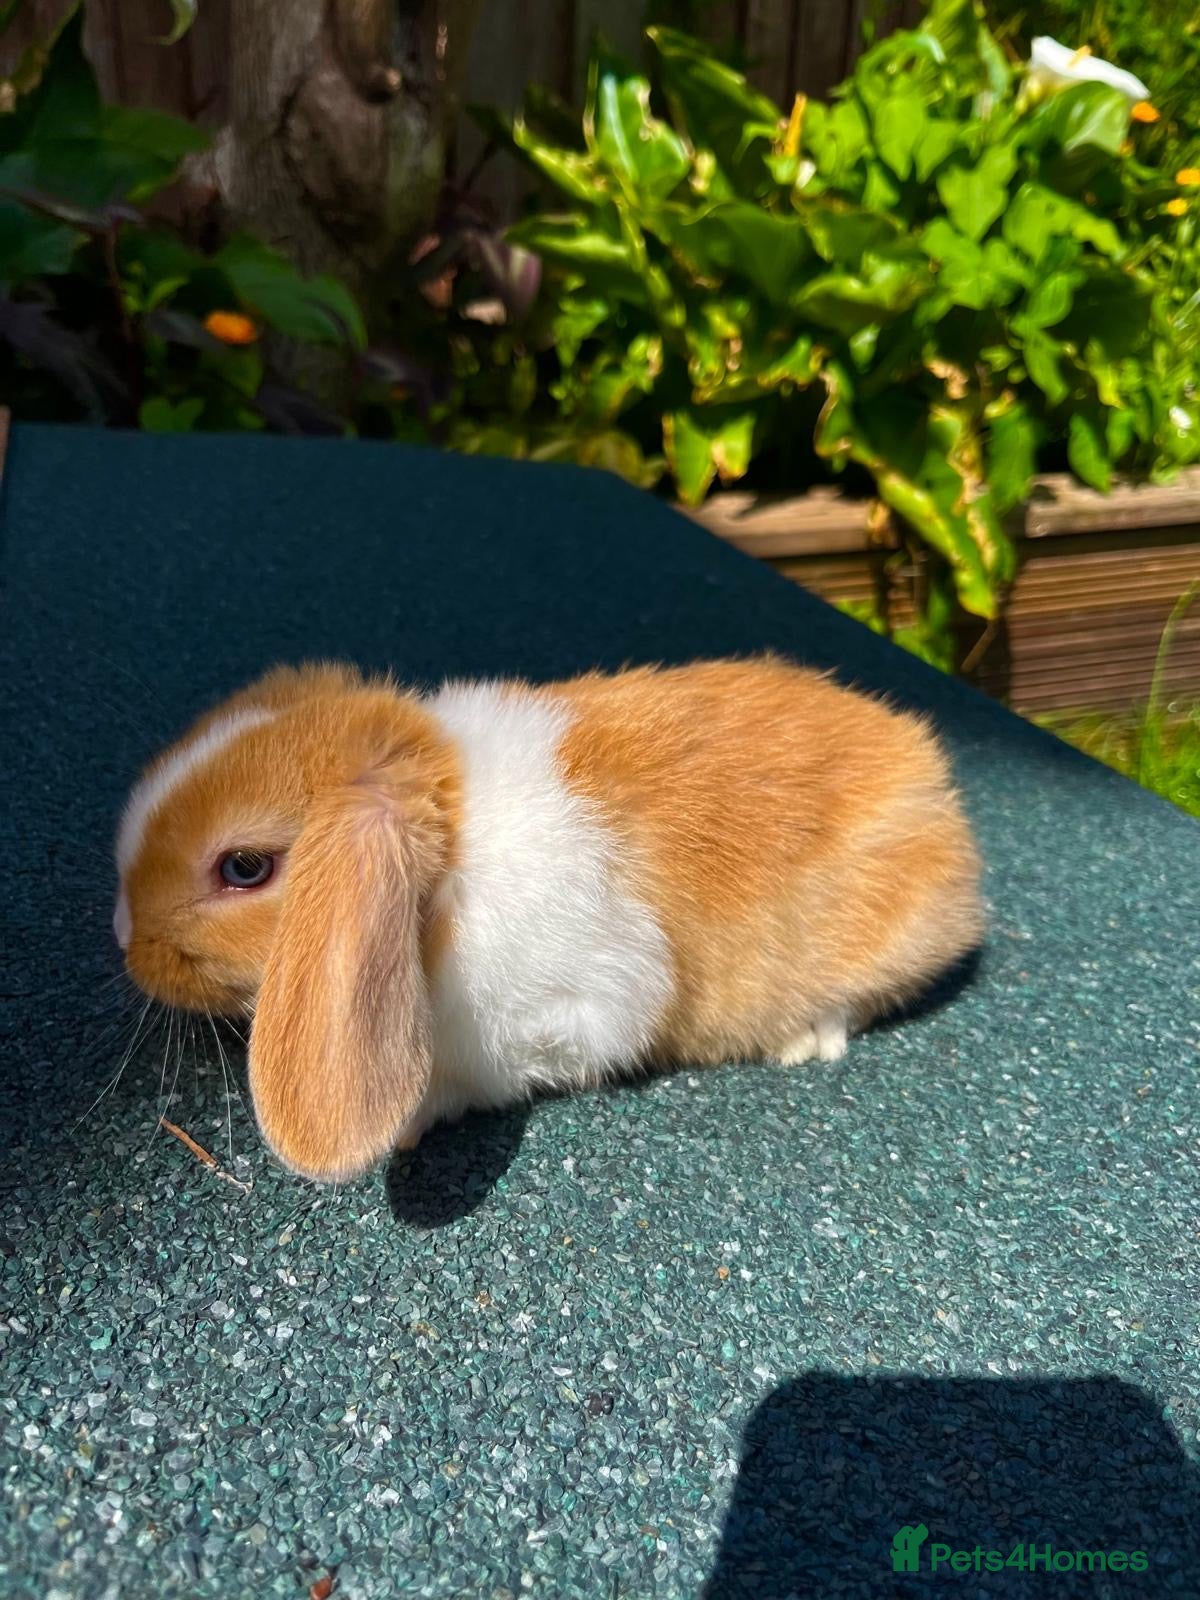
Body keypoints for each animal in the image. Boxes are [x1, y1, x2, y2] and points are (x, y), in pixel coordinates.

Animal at [113, 656, 983, 1182]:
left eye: (244, 868)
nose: (125, 936)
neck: (447, 865)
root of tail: (937, 789)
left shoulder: (579, 1011)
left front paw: (411, 1122)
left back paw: (803, 1039)